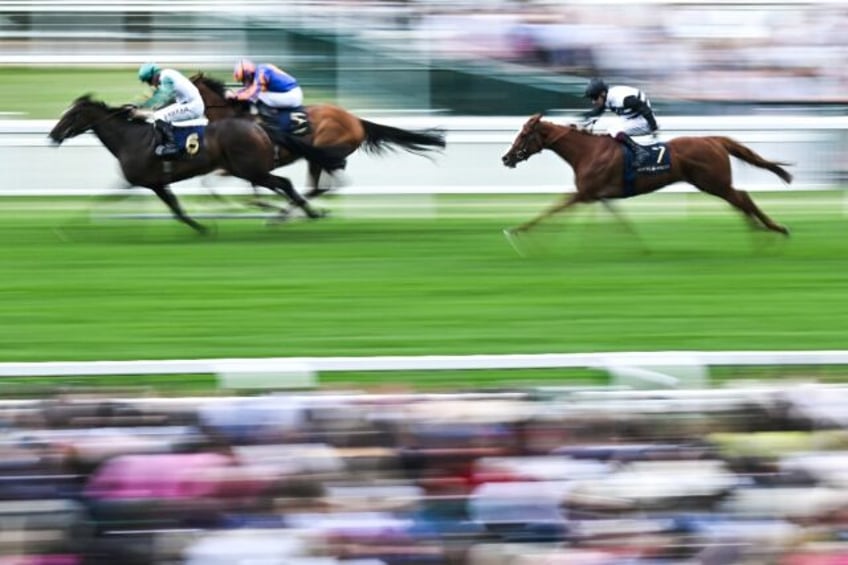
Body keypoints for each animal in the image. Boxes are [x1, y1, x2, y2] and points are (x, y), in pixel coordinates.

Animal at [190, 74, 448, 214]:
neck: (236, 117)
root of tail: (356, 120)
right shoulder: (239, 164)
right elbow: (213, 182)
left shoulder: (248, 162)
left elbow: (230, 183)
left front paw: (260, 203)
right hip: (316, 158)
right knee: (318, 187)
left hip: (322, 152)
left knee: (323, 185)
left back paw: (290, 212)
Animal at [500, 113, 792, 239]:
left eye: (524, 134)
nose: (506, 158)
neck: (587, 151)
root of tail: (713, 139)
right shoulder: (600, 197)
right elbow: (621, 222)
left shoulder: (584, 194)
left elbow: (552, 209)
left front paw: (517, 231)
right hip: (713, 183)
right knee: (740, 202)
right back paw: (759, 230)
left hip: (713, 182)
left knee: (743, 198)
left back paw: (775, 229)